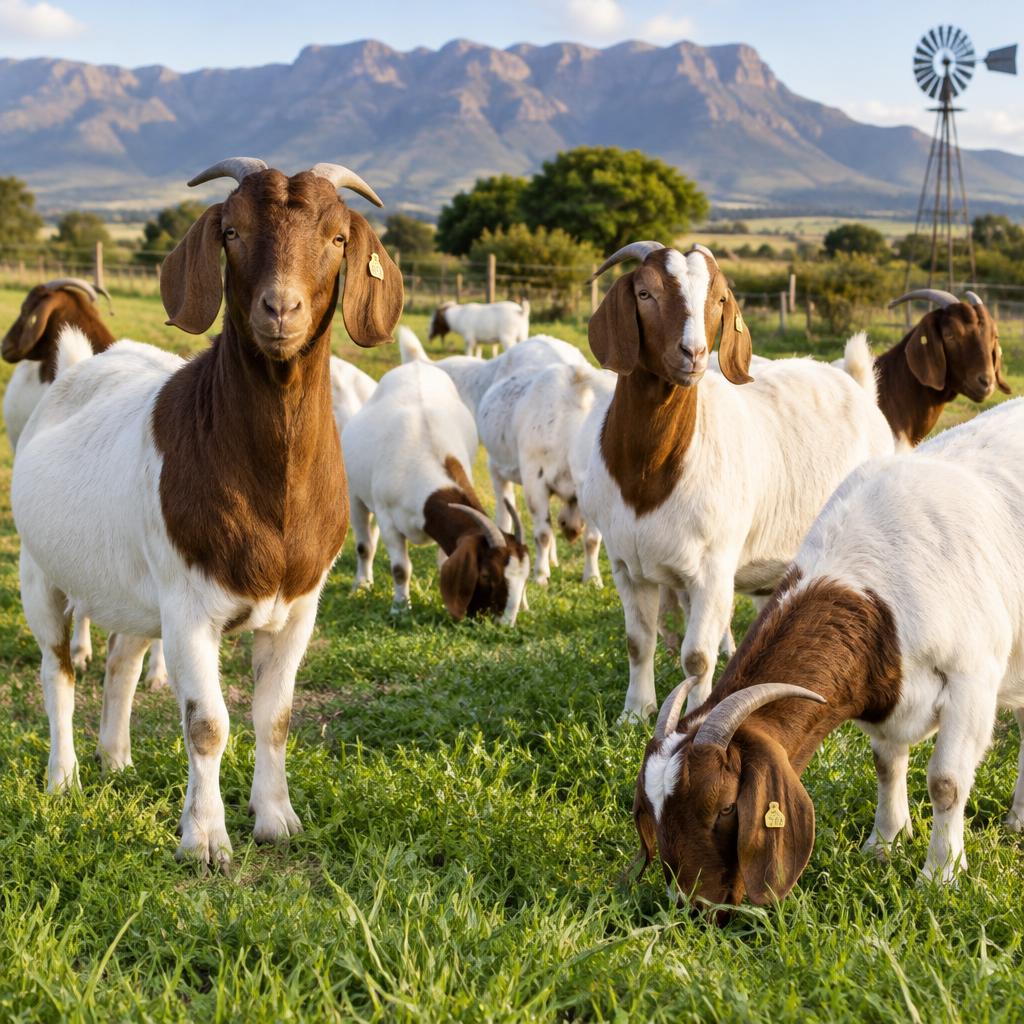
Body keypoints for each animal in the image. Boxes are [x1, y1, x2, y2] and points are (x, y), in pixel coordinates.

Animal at [11, 157, 402, 870]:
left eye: (338, 238)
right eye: (232, 231)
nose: (281, 308)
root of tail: (79, 366)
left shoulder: (298, 607)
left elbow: (274, 715)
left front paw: (276, 819)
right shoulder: (190, 607)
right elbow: (207, 724)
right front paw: (205, 840)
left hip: (135, 588)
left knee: (122, 660)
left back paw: (116, 759)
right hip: (40, 571)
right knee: (58, 670)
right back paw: (64, 776)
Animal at [342, 359, 529, 622]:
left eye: (524, 578)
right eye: (485, 575)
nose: (504, 623)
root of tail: (415, 364)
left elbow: (443, 562)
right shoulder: (388, 518)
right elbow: (400, 569)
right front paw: (400, 608)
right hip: (356, 495)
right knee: (364, 545)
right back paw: (361, 584)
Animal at [478, 360, 615, 584]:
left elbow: (593, 539)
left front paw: (593, 578)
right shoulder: (535, 481)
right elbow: (543, 534)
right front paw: (541, 575)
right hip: (496, 468)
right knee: (504, 509)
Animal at [579, 241, 893, 721]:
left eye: (720, 300)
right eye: (645, 293)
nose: (693, 353)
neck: (649, 476)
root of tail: (857, 387)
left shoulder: (712, 567)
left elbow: (697, 657)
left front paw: (693, 714)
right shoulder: (627, 565)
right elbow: (638, 642)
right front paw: (633, 713)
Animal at [632, 397, 1024, 912]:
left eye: (726, 807)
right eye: (654, 814)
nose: (696, 906)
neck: (876, 593)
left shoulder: (972, 680)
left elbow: (946, 783)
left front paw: (940, 876)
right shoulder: (887, 689)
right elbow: (886, 764)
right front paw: (884, 842)